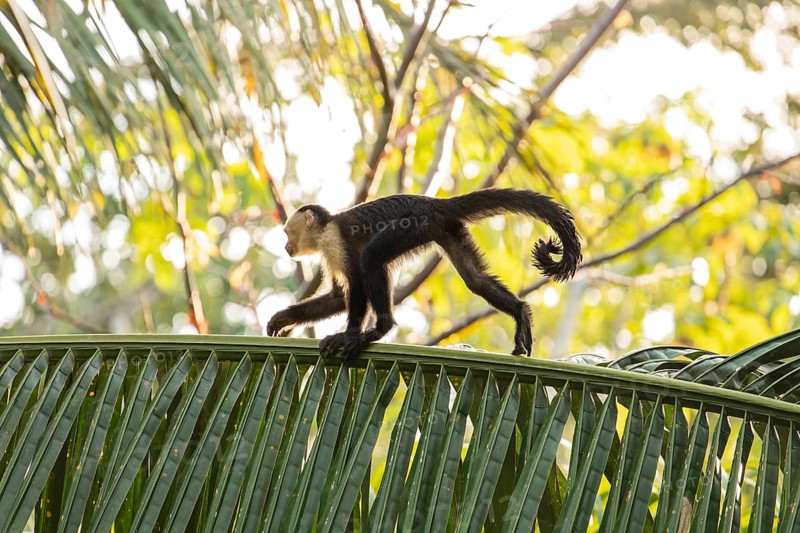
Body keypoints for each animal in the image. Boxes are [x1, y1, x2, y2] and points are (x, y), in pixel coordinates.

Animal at [266, 188, 582, 360]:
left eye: (287, 233)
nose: (286, 247)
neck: (325, 230)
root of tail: (435, 202)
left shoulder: (335, 242)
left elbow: (355, 285)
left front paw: (347, 336)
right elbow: (335, 297)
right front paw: (282, 319)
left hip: (414, 224)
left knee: (372, 258)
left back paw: (381, 328)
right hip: (444, 228)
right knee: (474, 279)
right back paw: (519, 312)